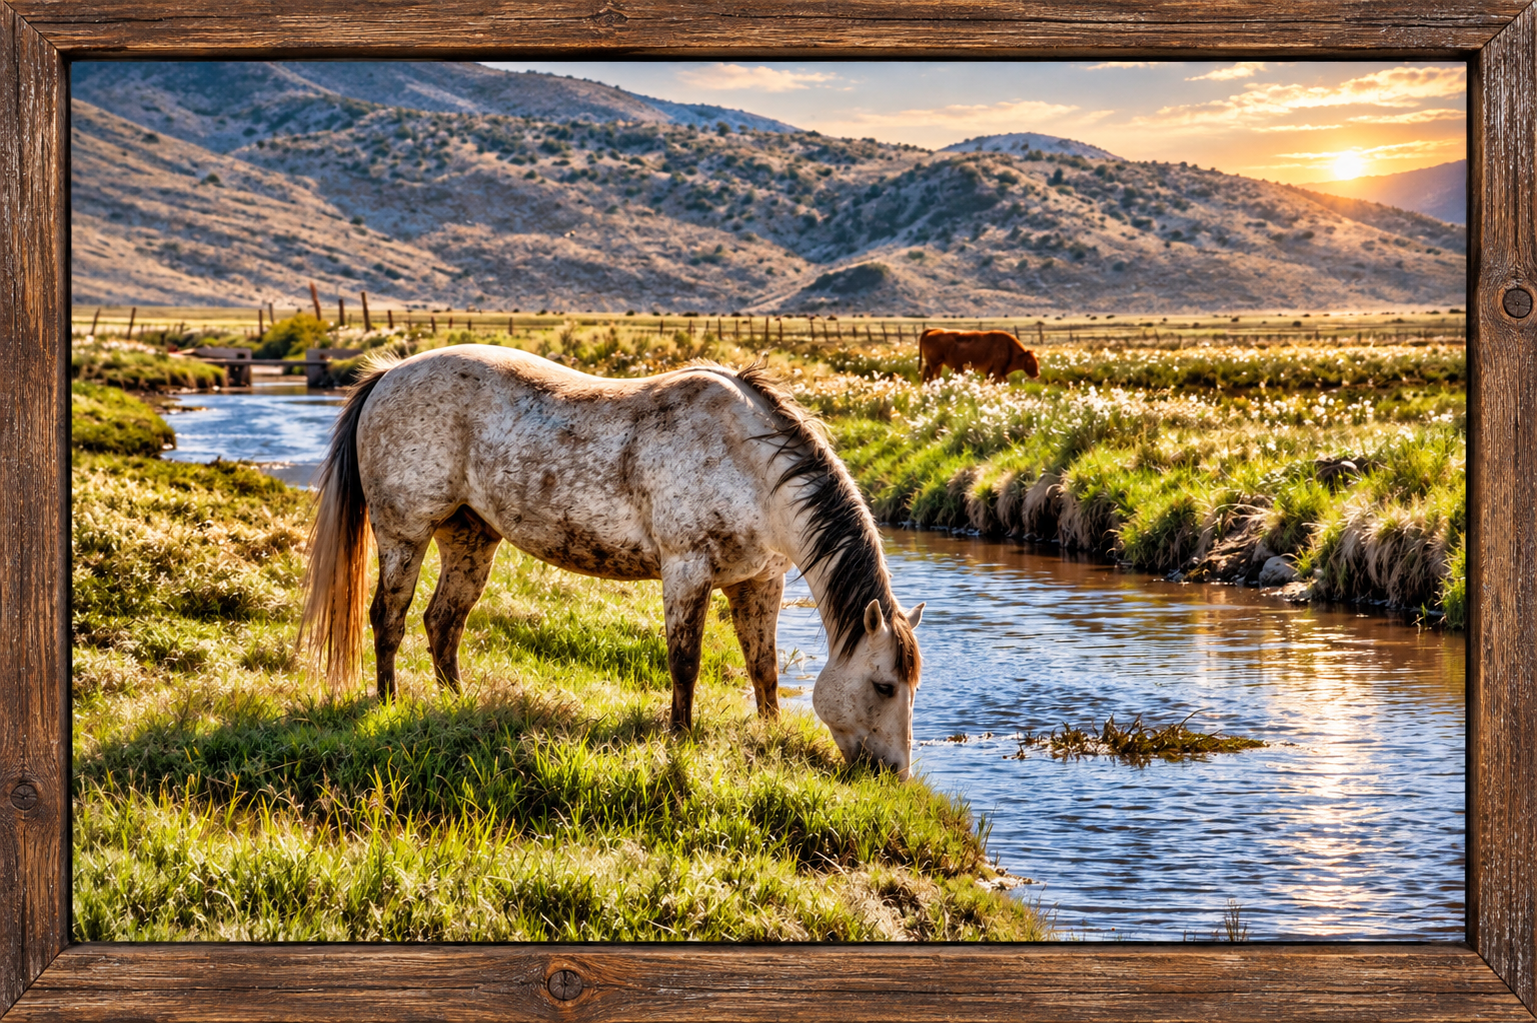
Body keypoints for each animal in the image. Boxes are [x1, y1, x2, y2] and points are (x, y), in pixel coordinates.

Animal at [300, 345, 926, 777]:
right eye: (884, 686)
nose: (894, 774)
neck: (750, 465)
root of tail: (388, 374)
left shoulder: (758, 582)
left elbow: (763, 668)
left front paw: (768, 735)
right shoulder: (686, 570)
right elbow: (685, 663)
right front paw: (680, 739)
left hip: (470, 537)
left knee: (443, 621)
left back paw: (457, 704)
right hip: (404, 533)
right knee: (390, 618)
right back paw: (388, 704)